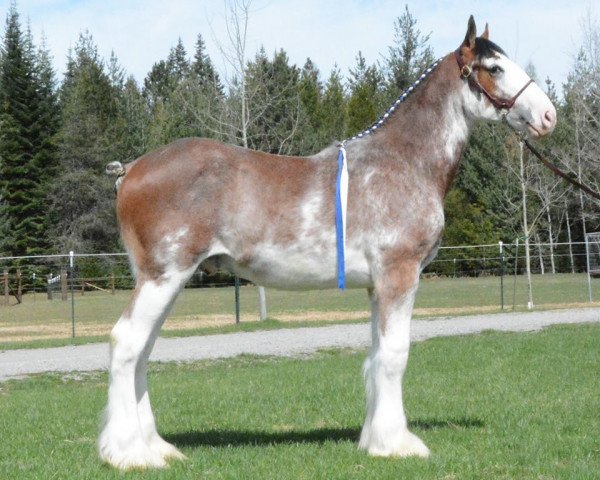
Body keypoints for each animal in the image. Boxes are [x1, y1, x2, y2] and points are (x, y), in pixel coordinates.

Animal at [97, 17, 552, 468]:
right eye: (494, 68)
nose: (548, 115)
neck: (405, 162)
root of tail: (131, 169)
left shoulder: (377, 286)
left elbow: (377, 356)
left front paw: (374, 439)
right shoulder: (399, 275)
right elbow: (395, 355)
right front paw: (397, 443)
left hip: (164, 280)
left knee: (142, 351)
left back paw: (156, 447)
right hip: (164, 277)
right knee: (126, 343)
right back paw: (130, 453)